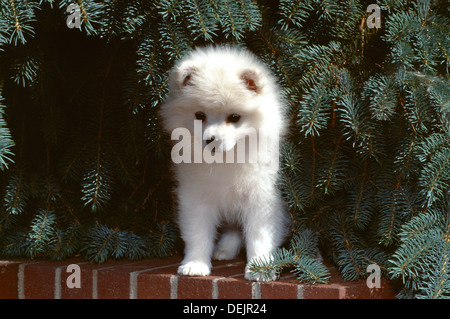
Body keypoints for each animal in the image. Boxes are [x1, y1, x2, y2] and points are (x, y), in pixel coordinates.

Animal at [160, 45, 290, 282]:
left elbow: (259, 234)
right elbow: (198, 233)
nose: (211, 139)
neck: (226, 159)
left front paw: (260, 268)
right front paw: (195, 264)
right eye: (199, 115)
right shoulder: (195, 196)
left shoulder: (261, 197)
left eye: (235, 117)